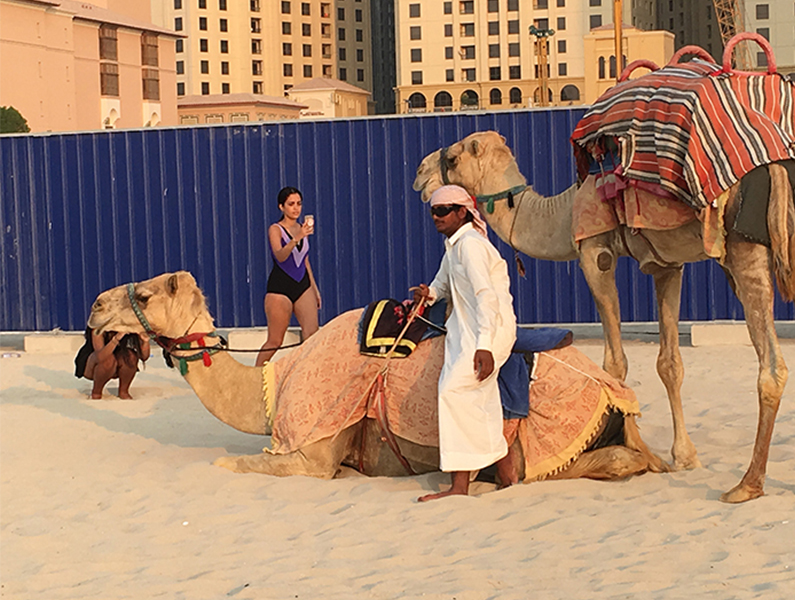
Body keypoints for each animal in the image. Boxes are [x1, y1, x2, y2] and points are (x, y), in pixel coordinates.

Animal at [413, 129, 794, 503]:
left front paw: (636, 448)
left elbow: (615, 366)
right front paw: (684, 457)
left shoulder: (595, 253)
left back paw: (747, 485)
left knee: (772, 368)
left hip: (746, 245)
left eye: (452, 158)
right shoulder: (667, 265)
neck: (563, 212)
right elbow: (670, 364)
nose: (419, 173)